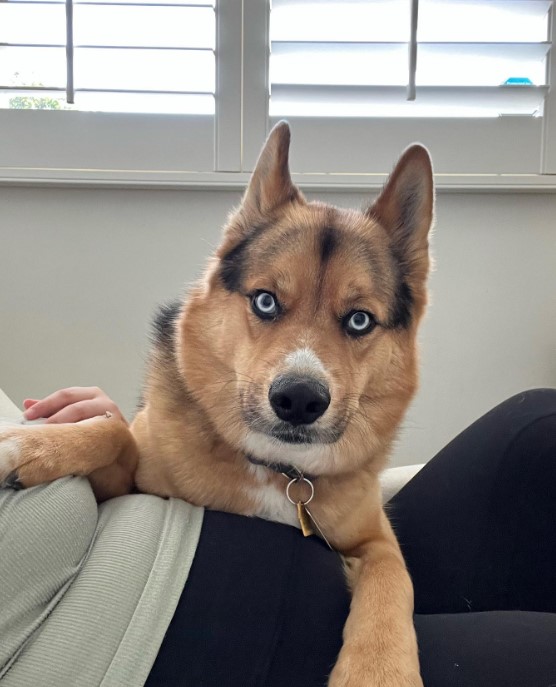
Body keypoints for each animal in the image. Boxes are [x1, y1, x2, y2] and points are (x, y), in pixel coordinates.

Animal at [0, 123, 434, 687]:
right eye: (265, 301)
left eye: (359, 320)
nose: (299, 400)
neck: (278, 471)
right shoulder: (124, 487)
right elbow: (114, 433)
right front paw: (33, 445)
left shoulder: (375, 537)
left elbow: (393, 578)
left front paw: (379, 670)